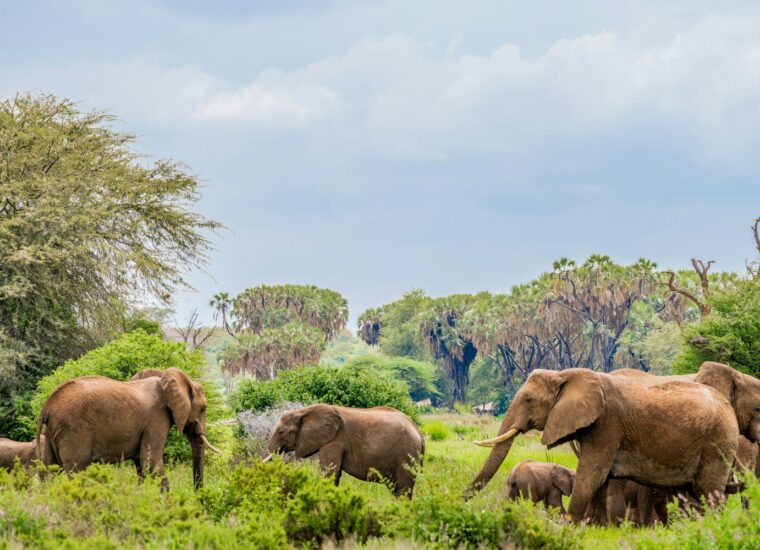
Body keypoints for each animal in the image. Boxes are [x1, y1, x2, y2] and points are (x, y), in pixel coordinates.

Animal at [36, 368, 219, 489]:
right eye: (203, 408)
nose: (197, 495)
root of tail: (47, 406)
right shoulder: (157, 418)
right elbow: (151, 463)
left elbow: (141, 465)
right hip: (73, 431)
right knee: (77, 472)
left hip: (52, 433)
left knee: (48, 471)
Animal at [264, 404, 424, 496]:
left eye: (281, 432)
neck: (303, 411)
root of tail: (419, 432)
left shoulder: (335, 440)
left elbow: (329, 473)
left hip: (406, 454)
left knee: (403, 489)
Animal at [466, 368, 739, 523]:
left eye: (529, 399)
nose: (460, 501)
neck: (565, 375)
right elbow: (601, 480)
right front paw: (597, 528)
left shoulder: (607, 425)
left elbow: (591, 475)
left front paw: (569, 527)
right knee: (693, 493)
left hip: (718, 443)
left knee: (709, 491)